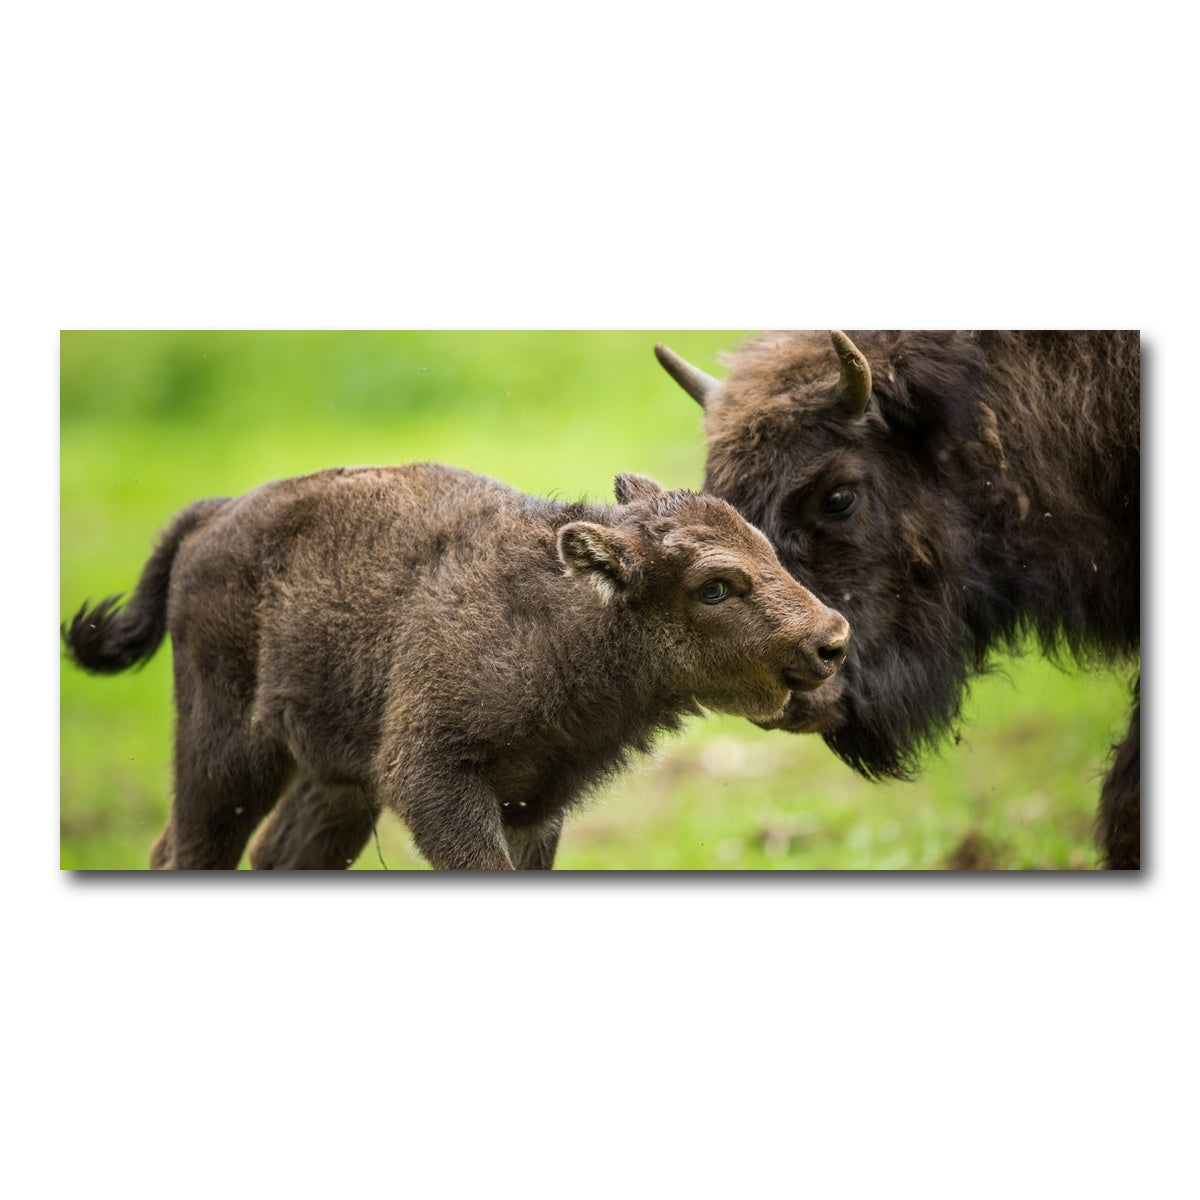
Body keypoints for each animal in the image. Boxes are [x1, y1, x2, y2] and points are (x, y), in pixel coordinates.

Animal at [62, 463, 849, 870]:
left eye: (765, 545)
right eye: (714, 586)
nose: (831, 640)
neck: (566, 616)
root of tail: (212, 517)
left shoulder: (535, 804)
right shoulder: (436, 779)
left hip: (337, 779)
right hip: (226, 753)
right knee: (187, 850)